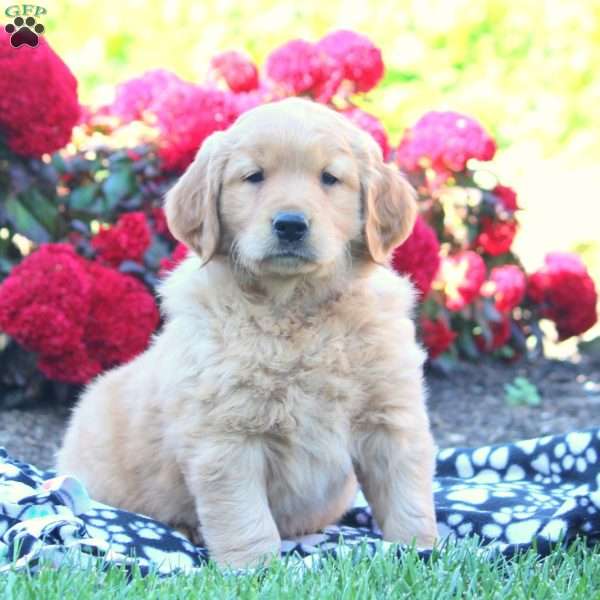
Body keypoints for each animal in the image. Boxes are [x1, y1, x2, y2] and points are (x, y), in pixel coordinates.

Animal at [57, 97, 436, 568]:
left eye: (329, 178)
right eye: (254, 176)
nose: (290, 224)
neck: (295, 309)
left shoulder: (391, 418)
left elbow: (408, 494)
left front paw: (421, 552)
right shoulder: (226, 437)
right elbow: (243, 515)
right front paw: (255, 569)